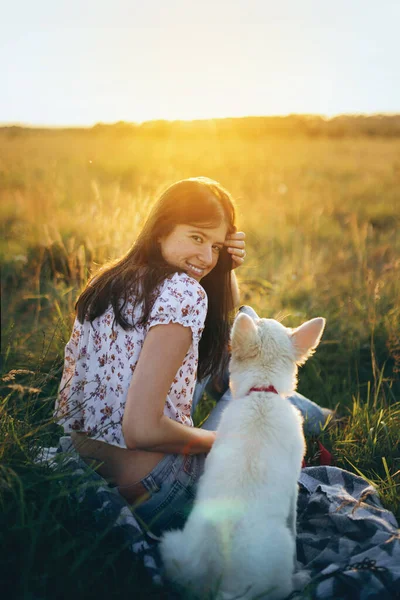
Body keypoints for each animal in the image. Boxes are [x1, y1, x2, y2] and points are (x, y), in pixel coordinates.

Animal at [159, 312, 324, 596]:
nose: (242, 309)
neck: (262, 393)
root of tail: (218, 585)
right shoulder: (293, 488)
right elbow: (295, 526)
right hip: (279, 553)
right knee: (282, 586)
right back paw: (300, 579)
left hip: (172, 544)